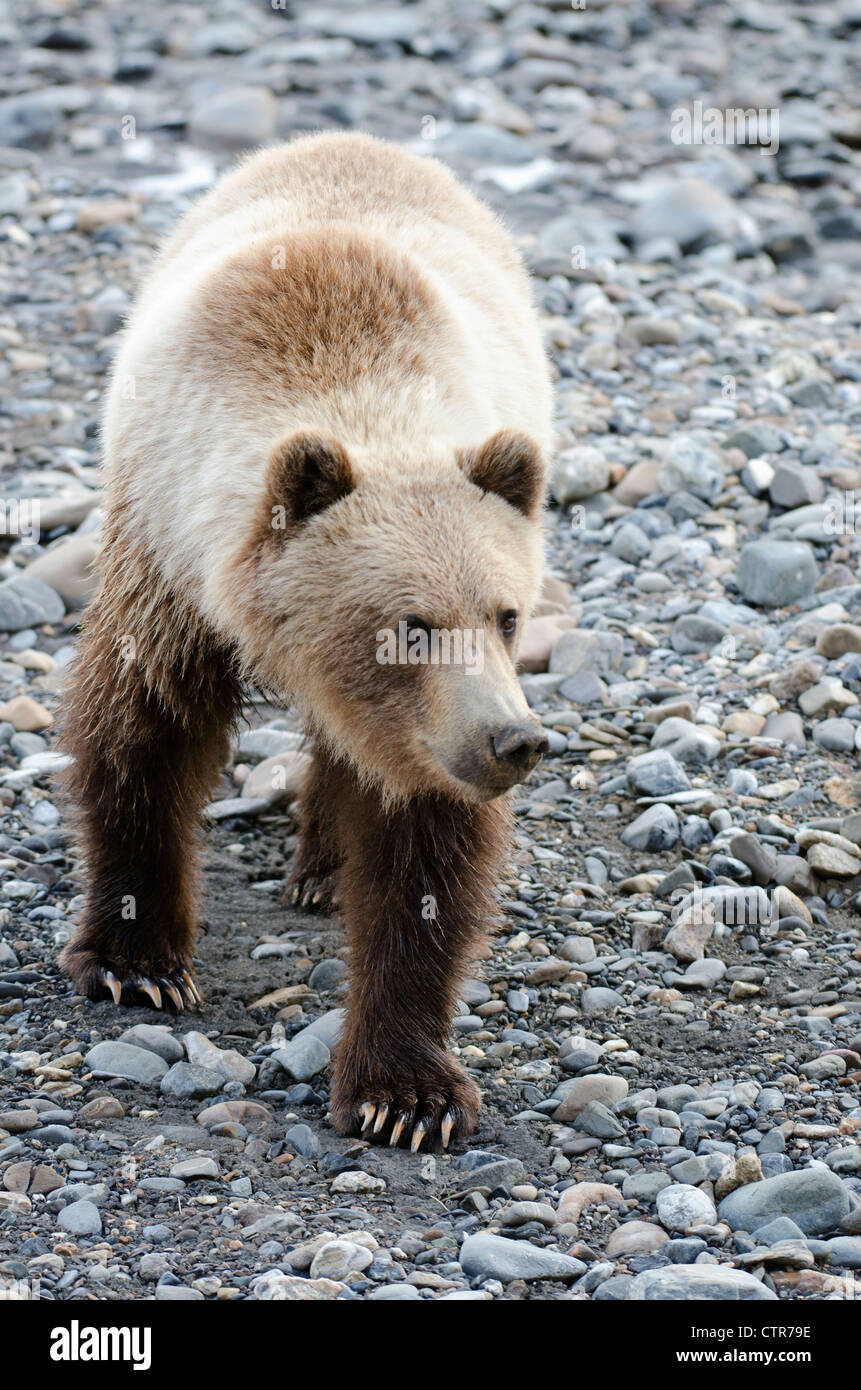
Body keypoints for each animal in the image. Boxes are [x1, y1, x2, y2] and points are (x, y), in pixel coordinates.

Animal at [63, 130, 556, 1150]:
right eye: (410, 624)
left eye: (505, 614)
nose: (513, 740)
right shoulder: (164, 563)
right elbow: (142, 735)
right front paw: (138, 960)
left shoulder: (421, 732)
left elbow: (425, 854)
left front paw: (404, 1091)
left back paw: (325, 873)